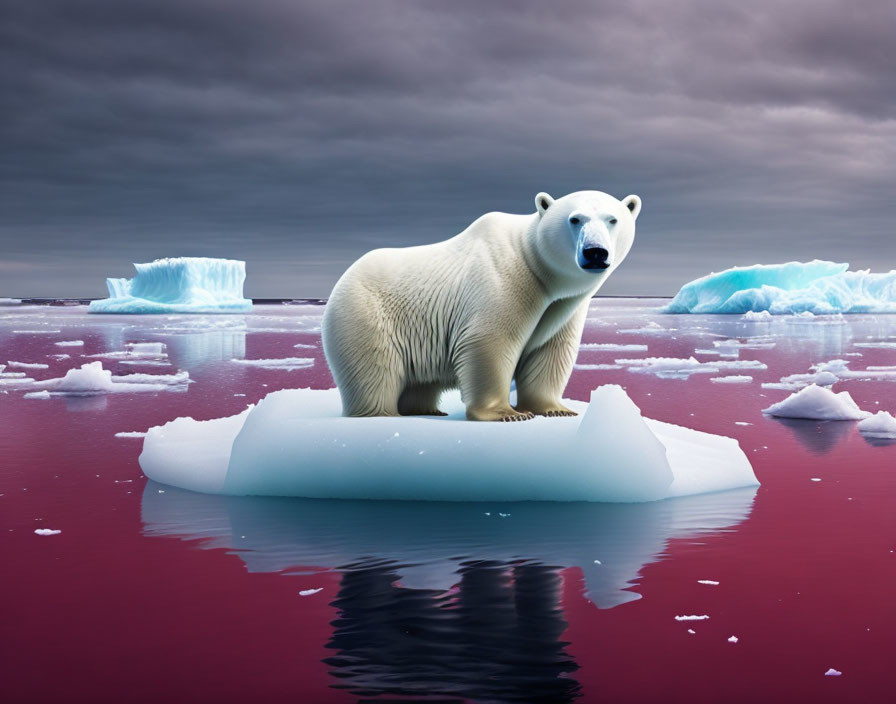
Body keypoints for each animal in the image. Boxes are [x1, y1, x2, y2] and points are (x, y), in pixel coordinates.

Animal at [326, 190, 640, 420]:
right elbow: (489, 341)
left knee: (421, 380)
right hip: (366, 313)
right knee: (375, 371)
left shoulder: (562, 307)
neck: (535, 265)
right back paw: (381, 414)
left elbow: (549, 351)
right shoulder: (502, 281)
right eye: (575, 219)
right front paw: (507, 414)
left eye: (613, 219)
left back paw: (427, 409)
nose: (596, 252)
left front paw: (555, 409)